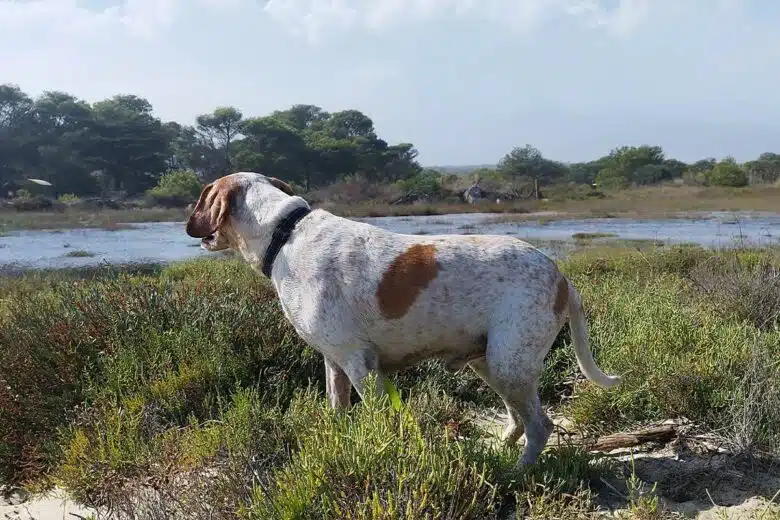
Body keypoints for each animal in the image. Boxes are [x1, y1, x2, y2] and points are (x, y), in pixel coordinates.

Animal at [186, 173, 620, 466]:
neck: (284, 233)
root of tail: (562, 277)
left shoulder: (360, 364)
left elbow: (379, 419)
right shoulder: (335, 363)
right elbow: (337, 412)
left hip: (509, 365)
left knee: (540, 426)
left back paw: (518, 472)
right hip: (493, 366)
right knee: (516, 422)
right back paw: (498, 456)